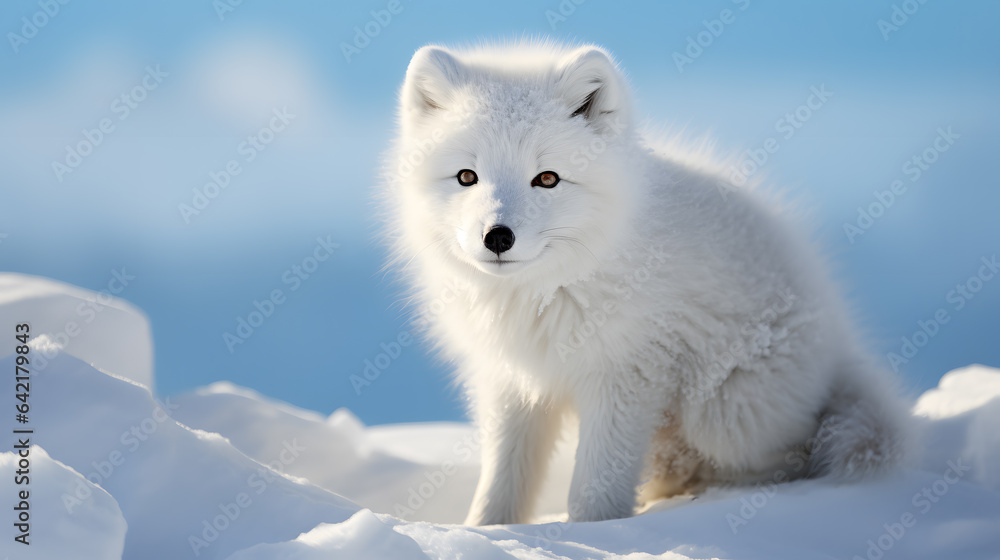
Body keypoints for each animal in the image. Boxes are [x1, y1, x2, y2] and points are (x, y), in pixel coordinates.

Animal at [380, 41, 914, 525]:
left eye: (547, 179)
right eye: (466, 176)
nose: (497, 236)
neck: (546, 291)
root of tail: (837, 344)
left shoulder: (625, 377)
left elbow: (595, 487)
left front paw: (596, 535)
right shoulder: (510, 382)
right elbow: (503, 481)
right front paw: (487, 531)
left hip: (723, 417)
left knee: (789, 456)